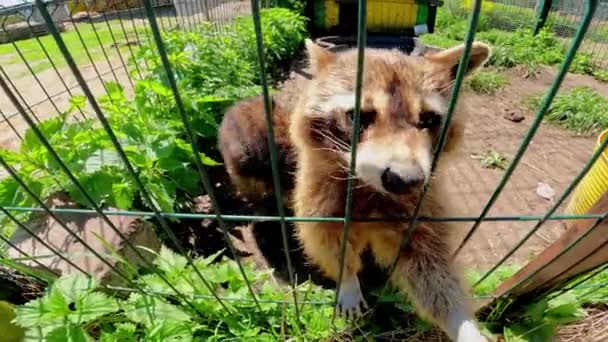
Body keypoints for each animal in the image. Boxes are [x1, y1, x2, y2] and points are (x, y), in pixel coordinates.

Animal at [217, 38, 490, 340]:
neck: (368, 188)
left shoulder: (422, 204)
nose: (406, 180)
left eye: (429, 119)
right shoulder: (318, 194)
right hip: (249, 150)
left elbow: (431, 268)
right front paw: (347, 280)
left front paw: (462, 323)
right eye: (359, 116)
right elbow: (326, 241)